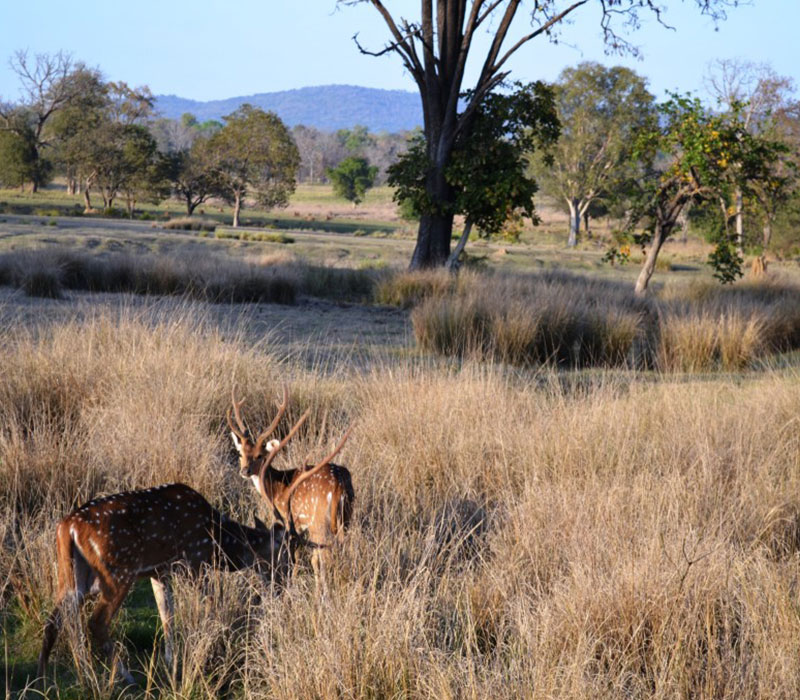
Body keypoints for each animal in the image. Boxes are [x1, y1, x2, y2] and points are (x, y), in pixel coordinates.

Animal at [227, 386, 354, 588]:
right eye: (241, 453)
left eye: (260, 455)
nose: (245, 470)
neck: (277, 488)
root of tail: (338, 486)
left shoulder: (291, 520)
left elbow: (296, 556)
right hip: (346, 516)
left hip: (319, 521)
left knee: (324, 556)